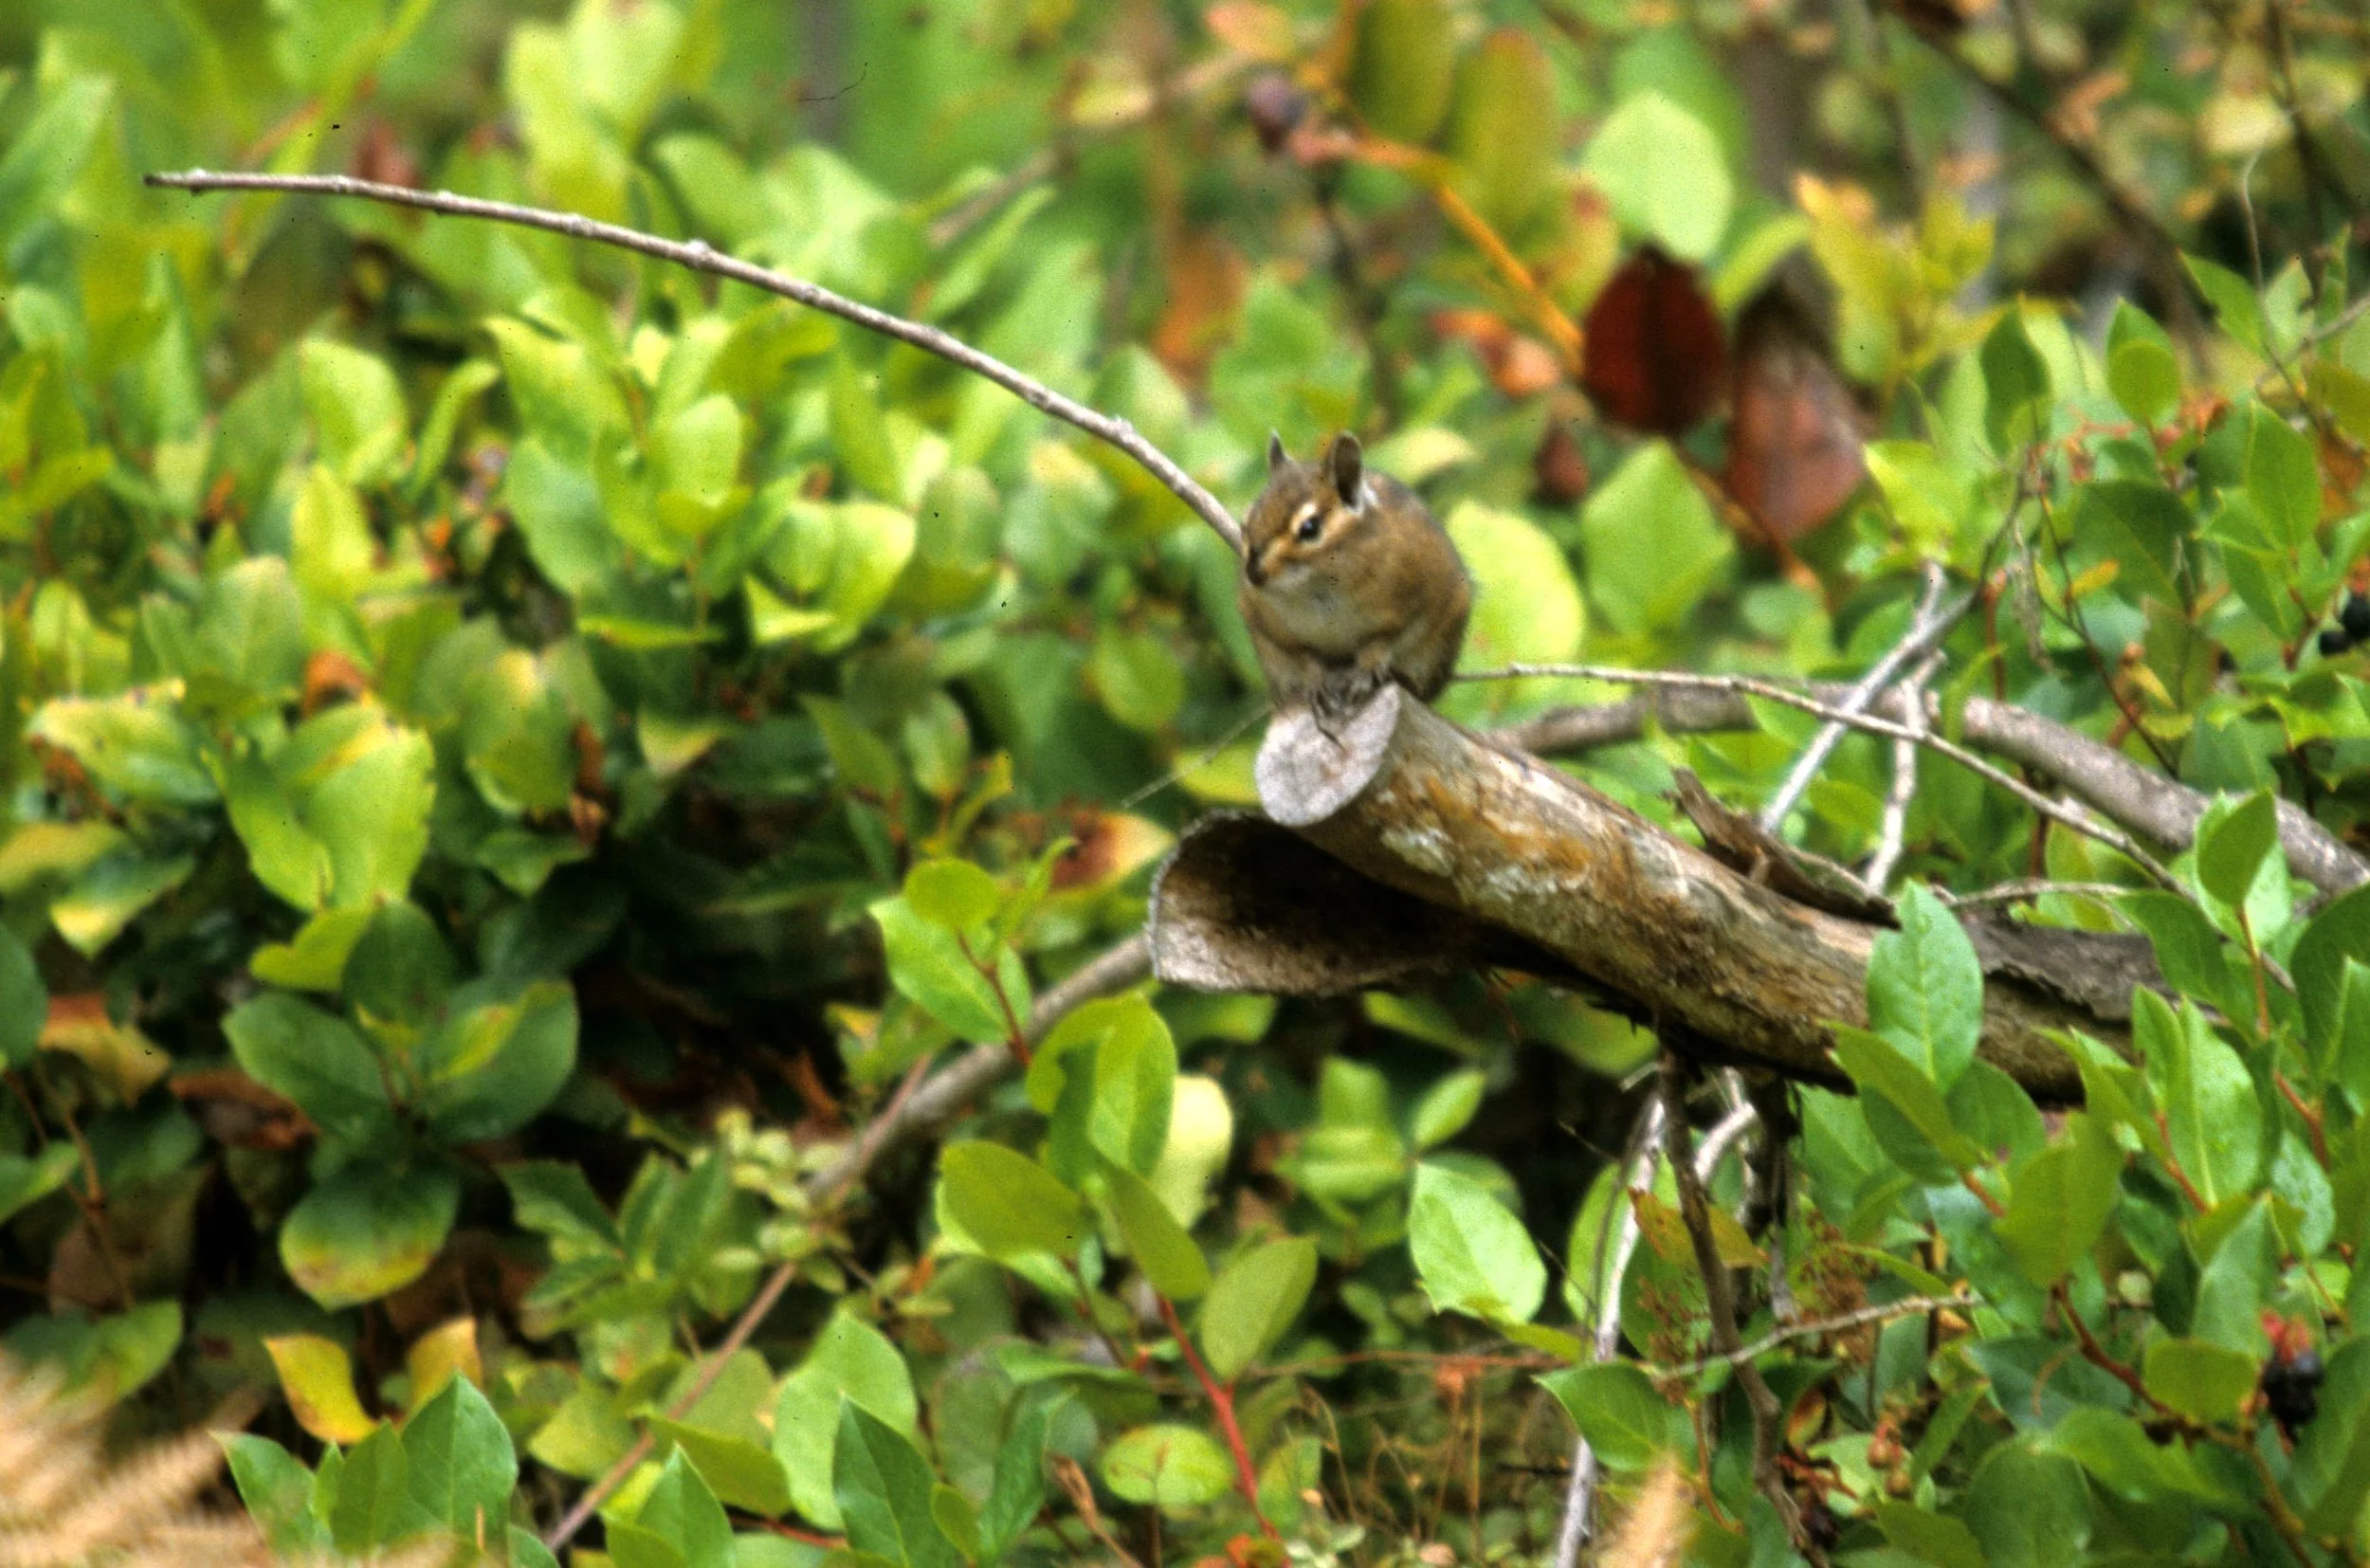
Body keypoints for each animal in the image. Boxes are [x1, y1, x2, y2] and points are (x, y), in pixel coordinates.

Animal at [1237, 432, 1473, 720]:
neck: (1317, 585)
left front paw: (1364, 673)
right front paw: (1314, 682)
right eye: (1245, 523)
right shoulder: (1272, 629)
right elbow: (1304, 656)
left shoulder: (1410, 608)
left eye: (1309, 528)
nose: (1253, 574)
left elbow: (1380, 643)